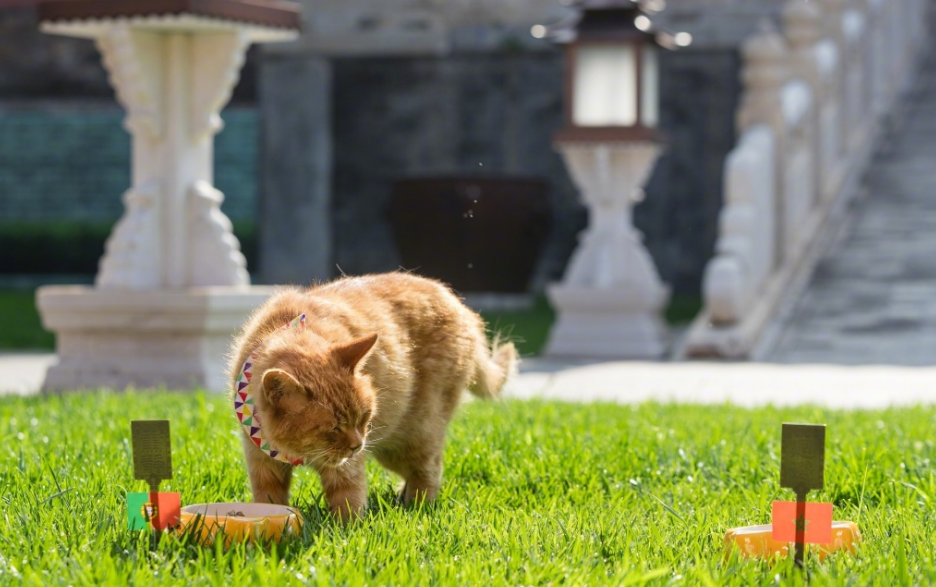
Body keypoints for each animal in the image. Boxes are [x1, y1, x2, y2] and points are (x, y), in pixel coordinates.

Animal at [228, 274, 520, 520]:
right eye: (333, 428)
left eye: (364, 417)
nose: (358, 445)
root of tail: (457, 304)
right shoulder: (261, 461)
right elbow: (269, 498)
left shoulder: (346, 468)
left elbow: (348, 502)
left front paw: (345, 535)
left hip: (410, 438)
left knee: (430, 470)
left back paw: (415, 505)